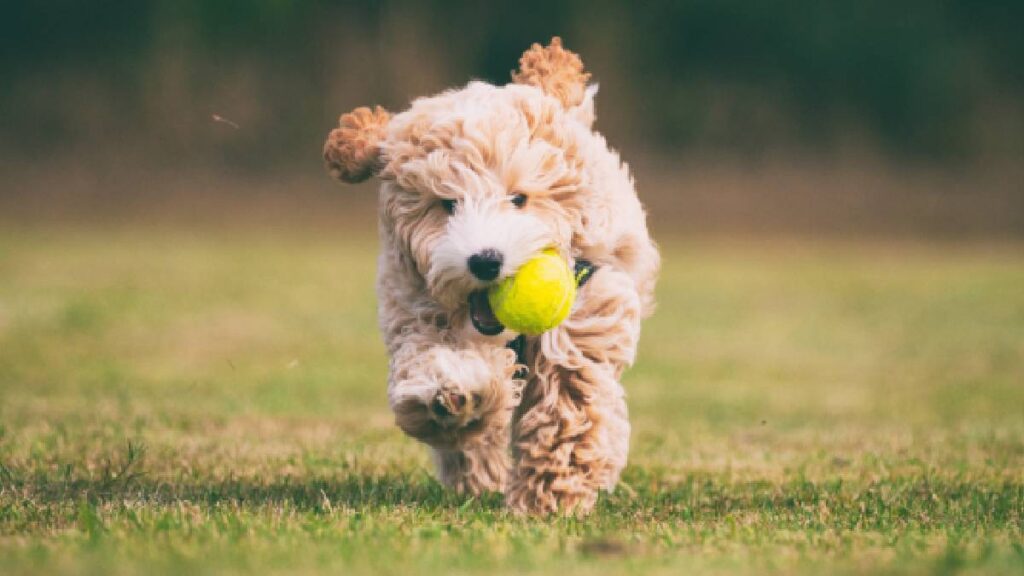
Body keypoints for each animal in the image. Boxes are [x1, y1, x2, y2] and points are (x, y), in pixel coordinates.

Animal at [327, 38, 663, 512]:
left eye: (518, 198)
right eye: (446, 204)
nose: (485, 260)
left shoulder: (583, 316)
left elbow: (569, 405)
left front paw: (549, 496)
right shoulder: (412, 308)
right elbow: (435, 363)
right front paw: (450, 395)